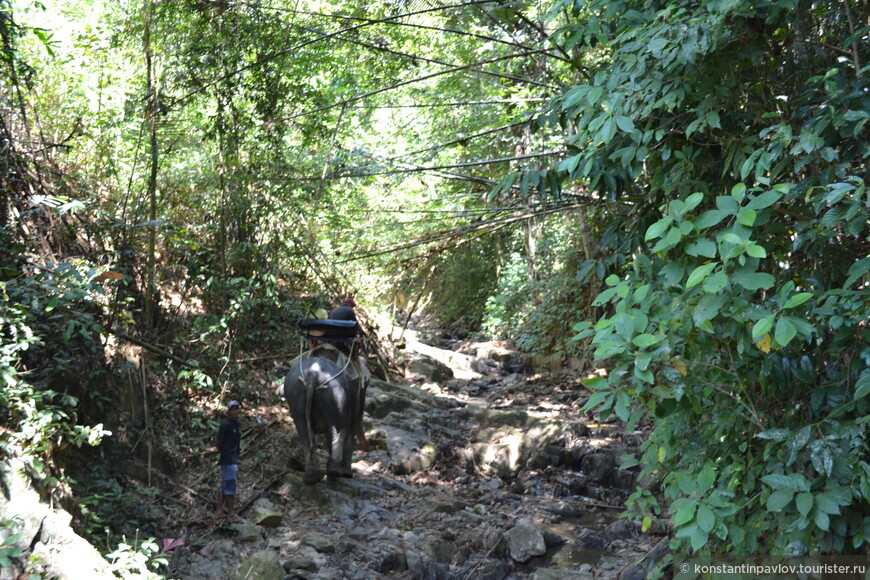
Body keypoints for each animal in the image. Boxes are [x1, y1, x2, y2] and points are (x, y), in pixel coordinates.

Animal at [284, 354, 370, 484]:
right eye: (368, 381)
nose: (367, 449)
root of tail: (313, 373)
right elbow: (349, 432)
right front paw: (347, 474)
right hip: (335, 393)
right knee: (340, 432)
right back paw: (333, 474)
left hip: (295, 395)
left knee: (305, 435)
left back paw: (312, 478)